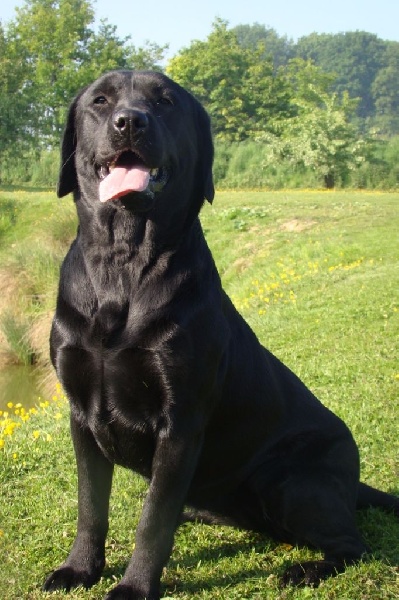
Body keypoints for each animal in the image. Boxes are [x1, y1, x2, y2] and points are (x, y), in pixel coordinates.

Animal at [42, 71, 398, 600]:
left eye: (166, 102)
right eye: (100, 100)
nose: (129, 122)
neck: (123, 263)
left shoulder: (181, 420)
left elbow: (153, 520)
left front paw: (135, 586)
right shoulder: (81, 413)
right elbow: (91, 506)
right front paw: (79, 568)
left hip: (290, 480)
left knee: (352, 544)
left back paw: (304, 569)